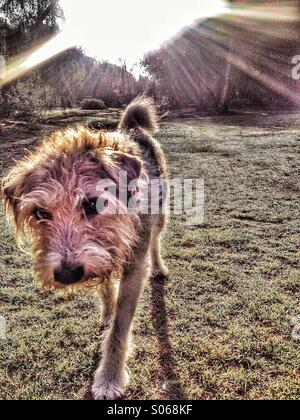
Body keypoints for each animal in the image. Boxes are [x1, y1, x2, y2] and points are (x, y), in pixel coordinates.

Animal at [0, 98, 169, 400]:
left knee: (156, 241)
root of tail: (130, 128)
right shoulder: (103, 258)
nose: (67, 275)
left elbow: (120, 326)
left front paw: (109, 377)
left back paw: (159, 267)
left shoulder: (134, 265)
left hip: (160, 215)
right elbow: (106, 290)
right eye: (41, 212)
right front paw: (107, 312)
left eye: (93, 204)